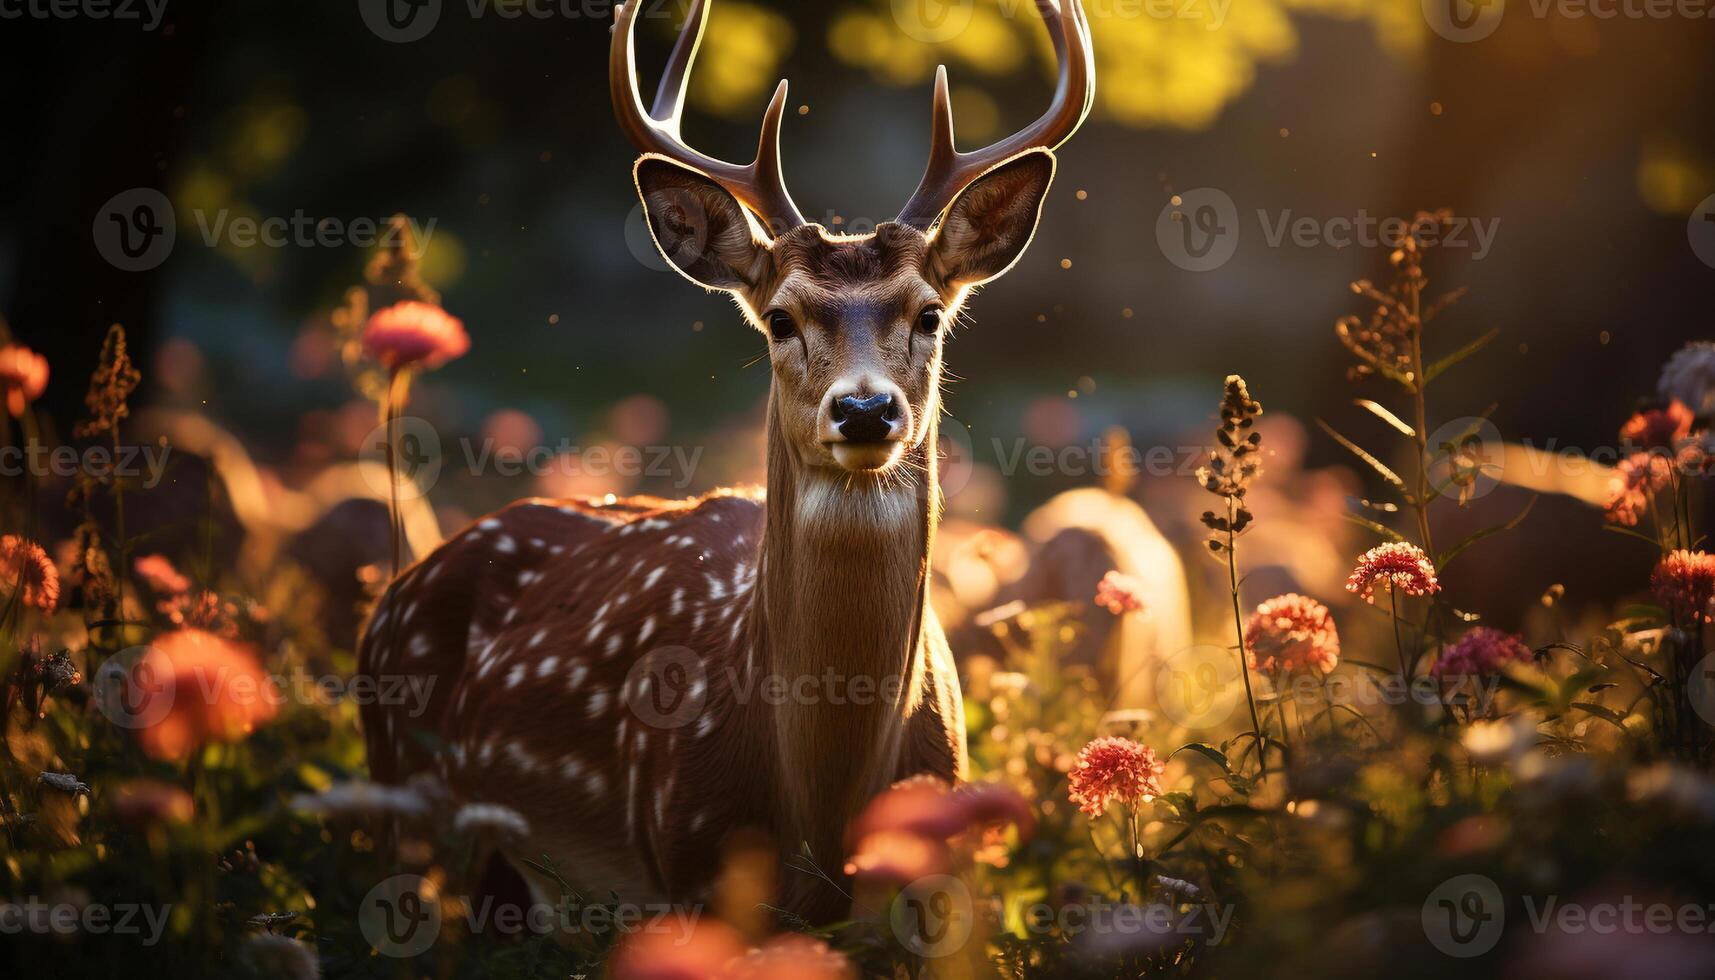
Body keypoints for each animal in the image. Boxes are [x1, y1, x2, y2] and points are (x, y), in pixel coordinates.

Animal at [355, 0, 1090, 926]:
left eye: (928, 313)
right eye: (780, 318)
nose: (864, 410)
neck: (819, 811)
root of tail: (391, 596)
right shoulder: (688, 870)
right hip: (404, 803)